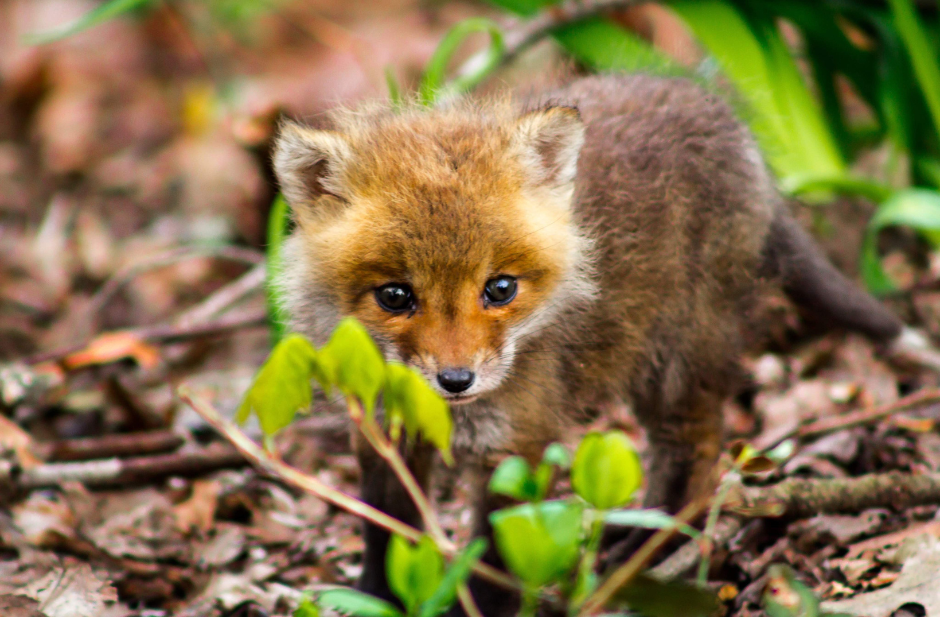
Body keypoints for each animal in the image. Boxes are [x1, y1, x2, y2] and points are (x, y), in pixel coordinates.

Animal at [270, 74, 932, 612]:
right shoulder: (386, 433)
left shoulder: (518, 445)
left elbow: (495, 564)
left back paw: (652, 551)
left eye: (500, 288)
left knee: (695, 457)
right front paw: (375, 599)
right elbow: (386, 532)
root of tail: (728, 125)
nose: (456, 381)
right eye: (395, 296)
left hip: (678, 358)